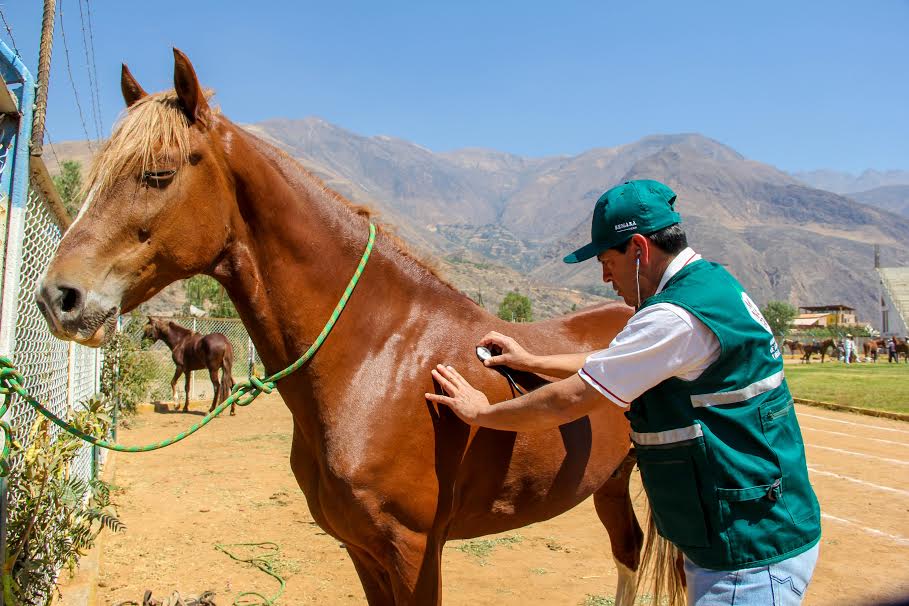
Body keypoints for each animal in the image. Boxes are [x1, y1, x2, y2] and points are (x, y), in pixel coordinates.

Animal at [33, 50, 663, 605]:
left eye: (158, 174)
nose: (58, 297)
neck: (379, 359)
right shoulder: (362, 550)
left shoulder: (414, 551)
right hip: (611, 481)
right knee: (627, 552)